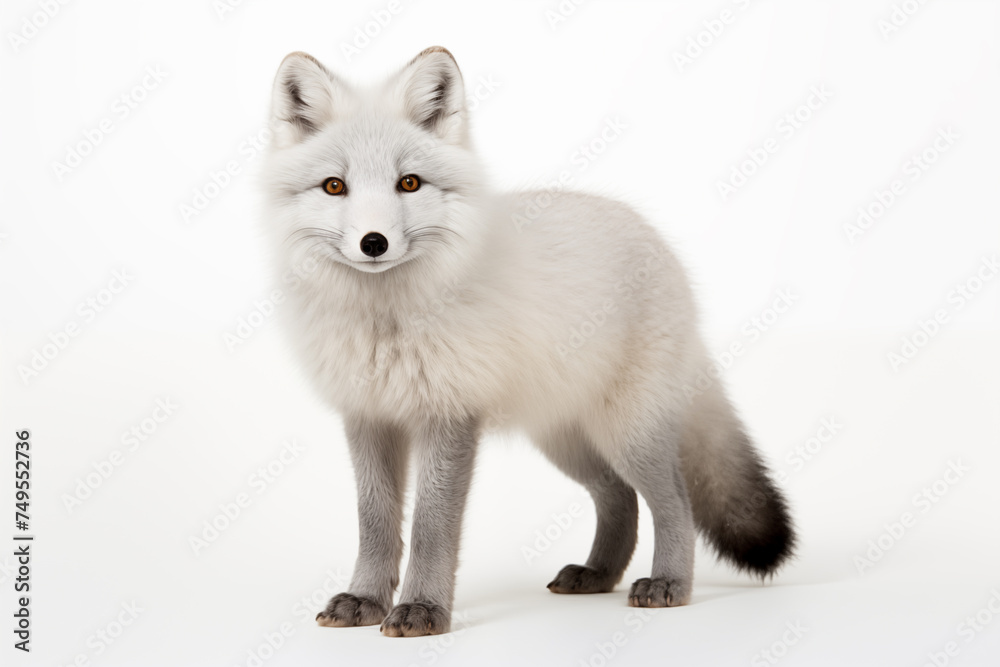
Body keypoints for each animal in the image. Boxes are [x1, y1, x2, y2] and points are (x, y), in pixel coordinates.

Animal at [262, 46, 795, 638]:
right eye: (335, 186)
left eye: (410, 183)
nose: (373, 242)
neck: (387, 323)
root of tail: (654, 241)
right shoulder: (368, 417)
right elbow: (374, 522)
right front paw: (365, 599)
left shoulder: (450, 415)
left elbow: (431, 526)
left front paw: (423, 609)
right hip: (565, 440)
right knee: (619, 498)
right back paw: (597, 574)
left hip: (627, 433)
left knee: (673, 500)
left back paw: (669, 584)